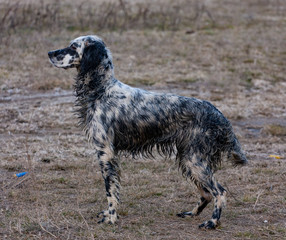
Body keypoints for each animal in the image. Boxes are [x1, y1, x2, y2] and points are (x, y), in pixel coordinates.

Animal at [48, 35, 247, 229]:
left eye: (73, 46)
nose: (50, 53)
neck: (102, 90)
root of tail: (218, 114)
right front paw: (108, 214)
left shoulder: (105, 152)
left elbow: (110, 190)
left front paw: (111, 218)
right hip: (188, 159)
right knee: (206, 194)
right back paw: (191, 213)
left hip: (195, 161)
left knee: (219, 191)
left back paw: (212, 222)